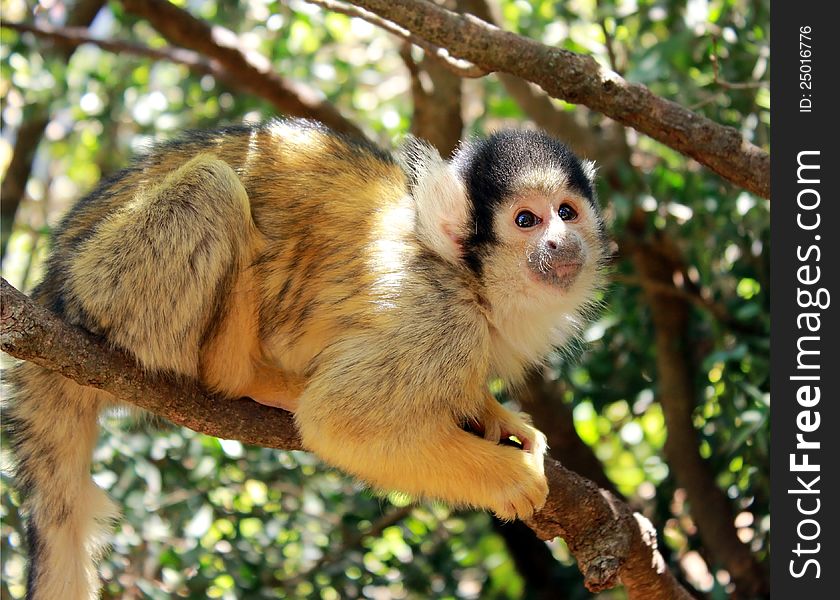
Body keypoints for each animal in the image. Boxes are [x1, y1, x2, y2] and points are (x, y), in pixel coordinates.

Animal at [3, 119, 608, 596]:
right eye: (527, 221)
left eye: (567, 212)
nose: (562, 243)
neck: (469, 279)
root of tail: (54, 291)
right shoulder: (436, 321)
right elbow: (339, 423)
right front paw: (508, 477)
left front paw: (491, 412)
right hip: (110, 286)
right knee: (212, 187)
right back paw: (242, 375)